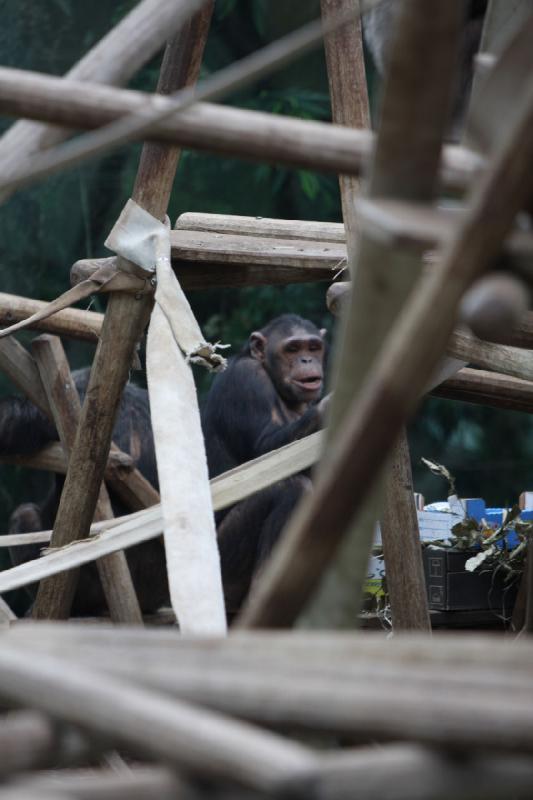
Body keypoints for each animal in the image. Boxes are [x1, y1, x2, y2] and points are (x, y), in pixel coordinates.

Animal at [202, 314, 328, 612]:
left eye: (313, 347)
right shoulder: (247, 381)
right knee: (290, 488)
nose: (306, 359)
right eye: (292, 349)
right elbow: (267, 449)